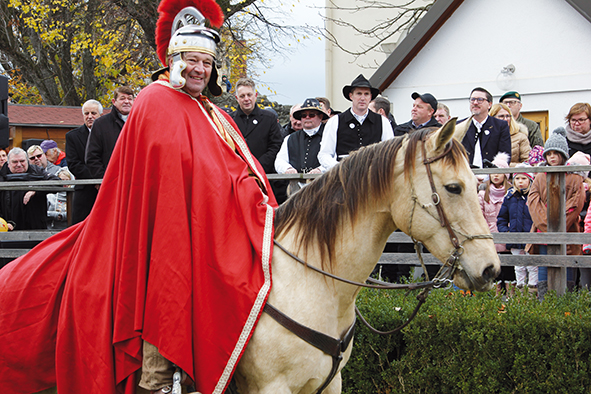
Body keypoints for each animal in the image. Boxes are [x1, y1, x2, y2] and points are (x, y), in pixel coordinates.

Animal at [231, 120, 500, 394]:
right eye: (454, 187)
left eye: (477, 185)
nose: (491, 269)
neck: (310, 283)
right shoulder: (273, 386)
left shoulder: (332, 382)